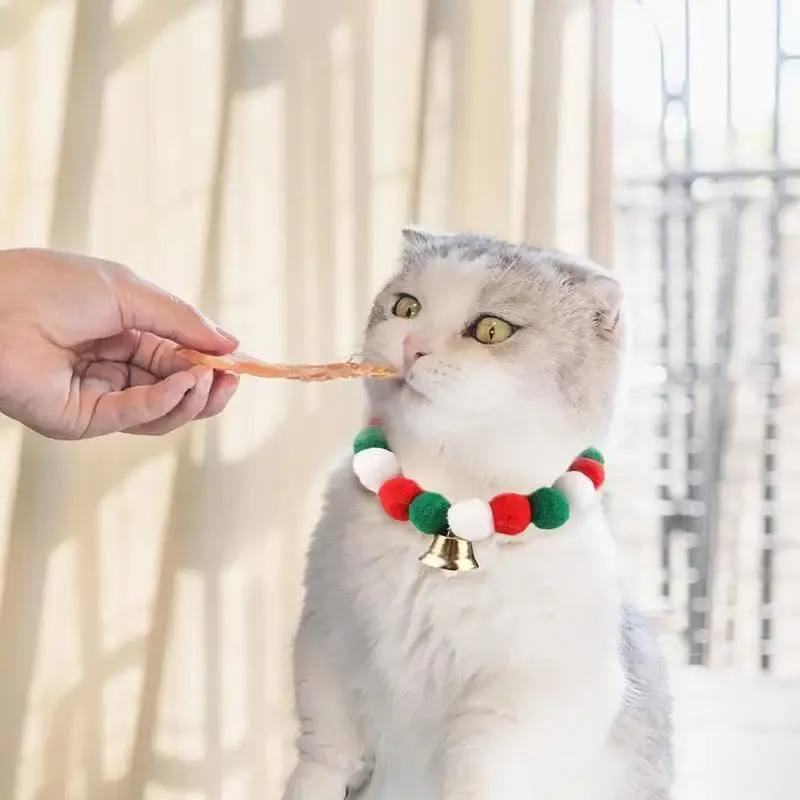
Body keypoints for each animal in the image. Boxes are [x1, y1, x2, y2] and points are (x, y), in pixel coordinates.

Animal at [284, 230, 672, 800]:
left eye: (491, 329)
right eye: (406, 307)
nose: (412, 345)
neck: (449, 512)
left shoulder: (527, 700)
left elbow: (476, 771)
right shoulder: (325, 644)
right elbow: (324, 755)